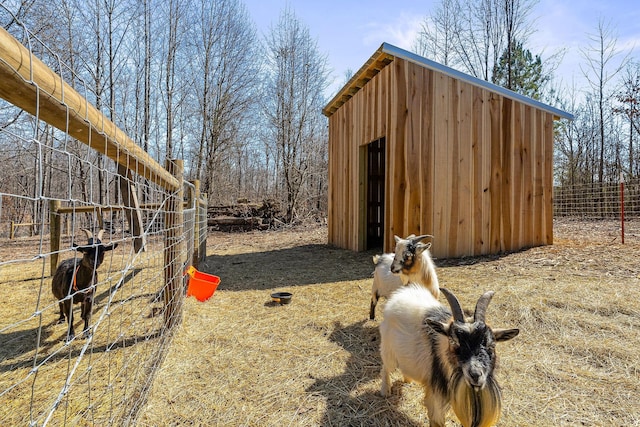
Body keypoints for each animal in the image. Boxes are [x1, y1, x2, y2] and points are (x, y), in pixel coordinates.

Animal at [380, 284, 520, 427]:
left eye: (491, 345)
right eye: (454, 342)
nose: (475, 375)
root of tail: (400, 294)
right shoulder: (436, 394)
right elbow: (437, 420)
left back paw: (407, 379)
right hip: (388, 350)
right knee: (385, 367)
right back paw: (385, 391)